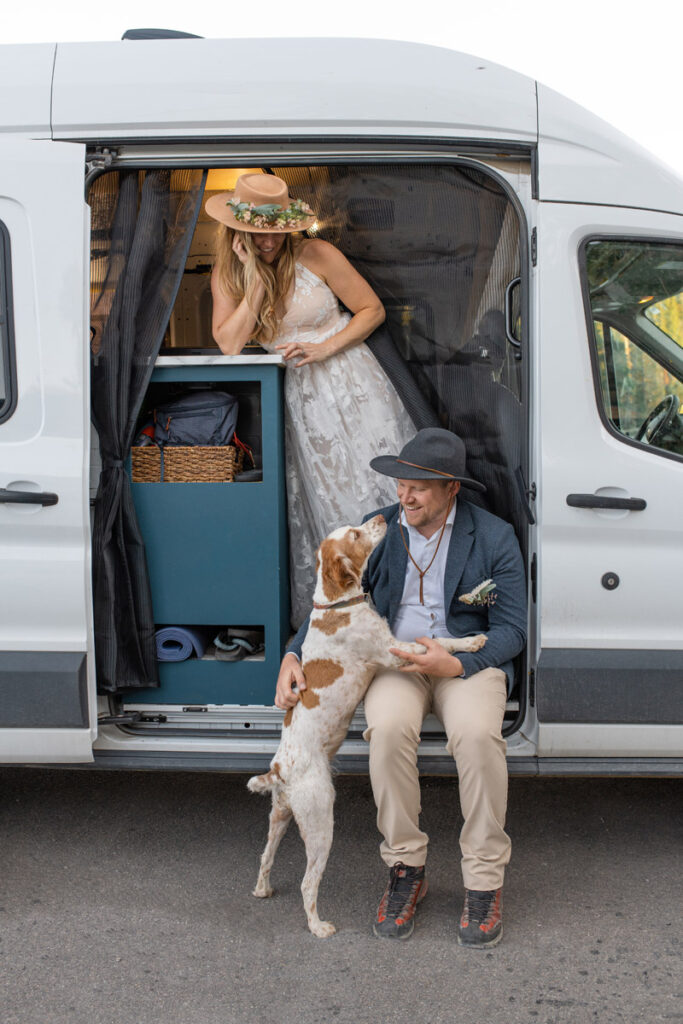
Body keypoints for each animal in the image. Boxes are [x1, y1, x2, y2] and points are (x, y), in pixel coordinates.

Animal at [245, 516, 485, 937]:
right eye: (355, 535)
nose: (381, 518)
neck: (338, 604)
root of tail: (279, 769)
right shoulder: (397, 652)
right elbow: (443, 643)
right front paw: (471, 641)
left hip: (280, 816)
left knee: (265, 856)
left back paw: (263, 890)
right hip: (321, 820)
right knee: (308, 882)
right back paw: (318, 926)